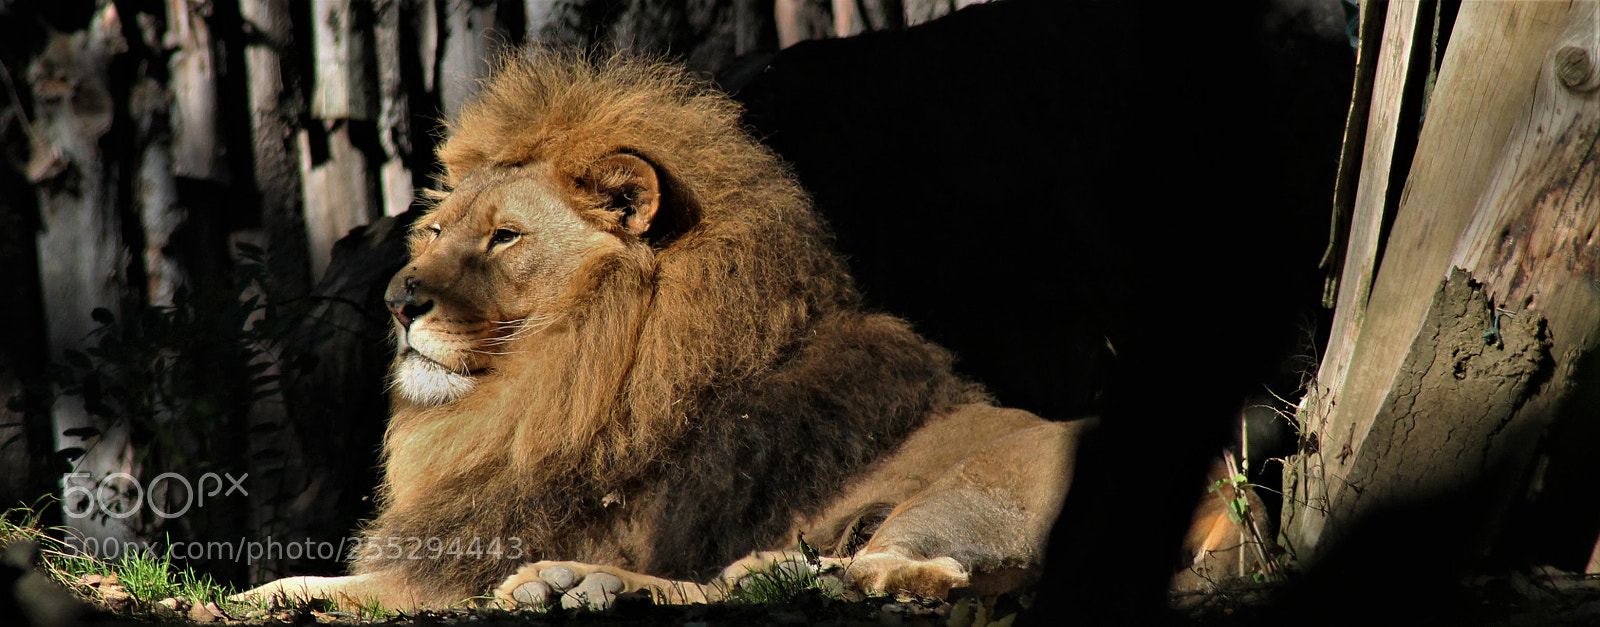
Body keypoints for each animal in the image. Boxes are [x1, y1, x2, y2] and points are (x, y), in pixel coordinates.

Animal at [240, 49, 1235, 612]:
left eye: (506, 237)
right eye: (437, 231)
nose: (397, 300)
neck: (552, 383)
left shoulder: (459, 560)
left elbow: (333, 585)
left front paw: (253, 594)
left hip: (972, 491)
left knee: (860, 577)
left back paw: (589, 582)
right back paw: (585, 587)